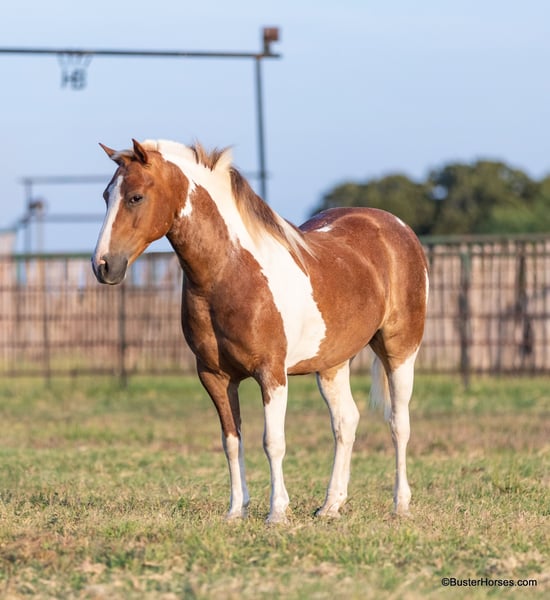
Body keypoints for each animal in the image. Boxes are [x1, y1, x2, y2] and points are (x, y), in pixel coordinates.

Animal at [91, 139, 429, 523]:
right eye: (106, 196)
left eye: (135, 197)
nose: (103, 266)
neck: (230, 272)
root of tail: (395, 226)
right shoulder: (215, 376)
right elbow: (231, 441)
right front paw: (236, 510)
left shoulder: (271, 374)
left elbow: (273, 442)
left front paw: (277, 512)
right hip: (331, 363)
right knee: (346, 422)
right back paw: (331, 505)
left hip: (400, 351)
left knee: (398, 423)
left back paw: (400, 504)